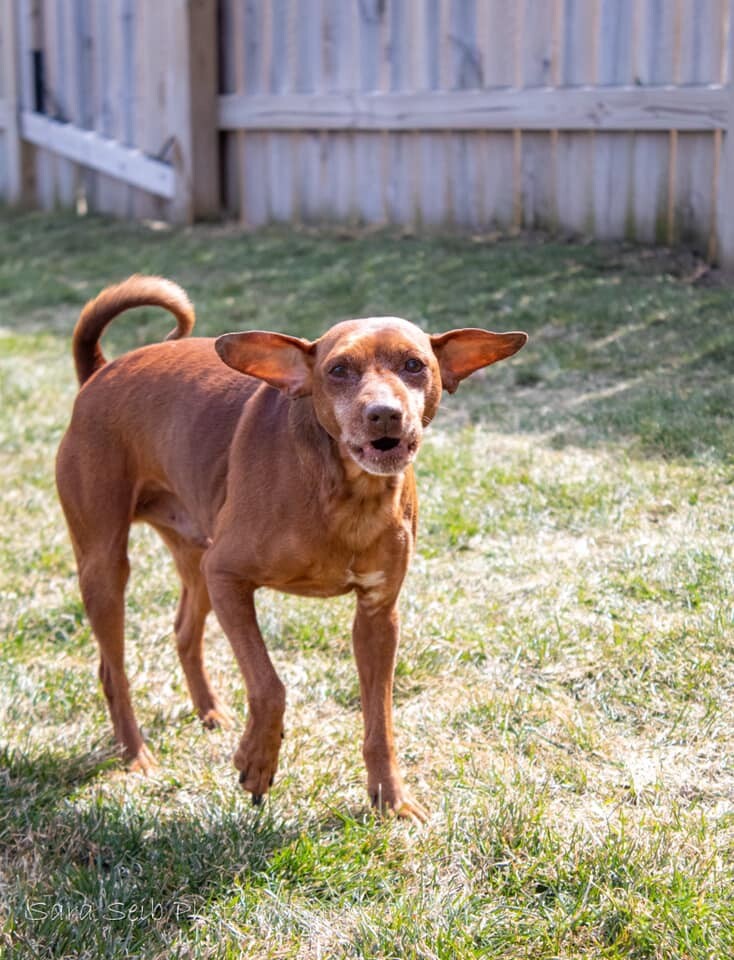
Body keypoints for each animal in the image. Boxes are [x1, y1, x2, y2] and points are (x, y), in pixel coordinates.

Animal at [57, 274, 528, 820]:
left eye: (415, 364)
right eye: (338, 370)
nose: (384, 414)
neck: (346, 495)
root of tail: (101, 370)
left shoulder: (377, 616)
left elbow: (380, 722)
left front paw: (390, 797)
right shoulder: (230, 577)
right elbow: (269, 685)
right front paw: (257, 761)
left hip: (196, 558)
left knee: (183, 633)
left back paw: (210, 711)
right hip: (107, 564)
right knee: (113, 670)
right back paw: (136, 755)